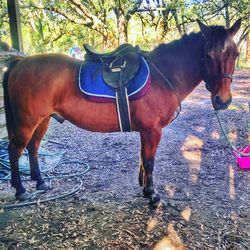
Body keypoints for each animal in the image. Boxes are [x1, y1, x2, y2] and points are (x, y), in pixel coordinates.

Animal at [2, 20, 240, 205]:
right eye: (207, 55)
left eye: (235, 54)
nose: (223, 100)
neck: (163, 74)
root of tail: (19, 62)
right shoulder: (153, 130)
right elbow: (149, 161)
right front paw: (152, 195)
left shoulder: (146, 131)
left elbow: (143, 158)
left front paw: (144, 187)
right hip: (27, 122)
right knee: (15, 150)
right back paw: (21, 190)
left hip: (42, 121)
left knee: (33, 147)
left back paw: (40, 181)